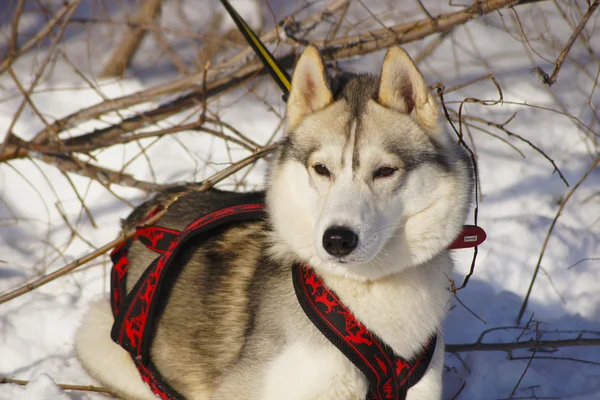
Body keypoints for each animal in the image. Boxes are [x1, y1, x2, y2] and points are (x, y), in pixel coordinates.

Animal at [76, 46, 474, 400]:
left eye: (385, 171)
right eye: (321, 169)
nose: (337, 239)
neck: (367, 290)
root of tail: (144, 213)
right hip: (99, 338)